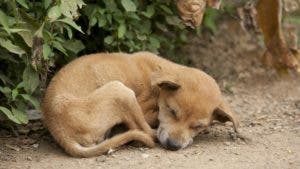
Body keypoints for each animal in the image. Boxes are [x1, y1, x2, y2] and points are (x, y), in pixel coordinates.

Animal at [42, 51, 239, 157]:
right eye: (172, 111)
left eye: (198, 126)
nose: (173, 145)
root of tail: (60, 133)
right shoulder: (145, 108)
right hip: (120, 91)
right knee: (146, 132)